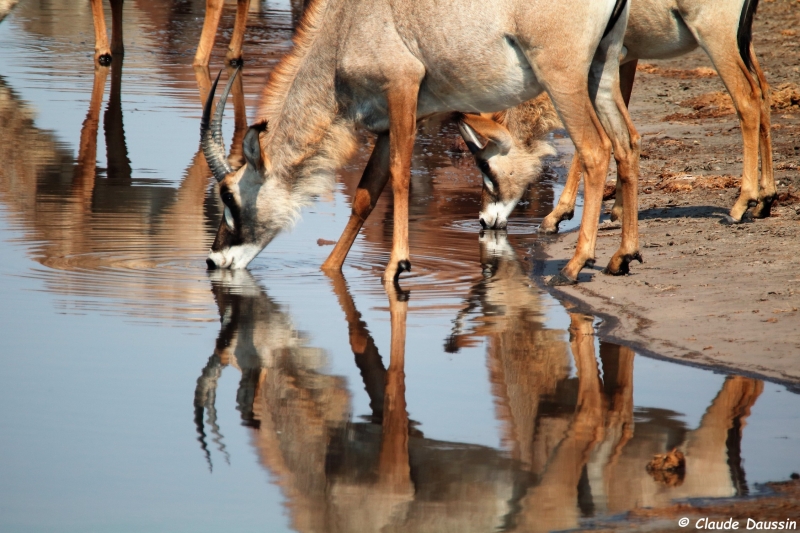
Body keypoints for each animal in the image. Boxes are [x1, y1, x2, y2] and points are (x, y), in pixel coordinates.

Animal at [203, 0, 640, 286]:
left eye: (228, 196)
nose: (212, 260)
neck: (344, 26)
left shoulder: (403, 89)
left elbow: (399, 175)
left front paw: (397, 265)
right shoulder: (383, 122)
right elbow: (366, 194)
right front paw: (330, 267)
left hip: (562, 76)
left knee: (596, 149)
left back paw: (575, 265)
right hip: (603, 69)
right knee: (626, 144)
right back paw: (622, 257)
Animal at [462, 0, 776, 233]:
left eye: (485, 166)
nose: (484, 221)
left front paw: (557, 216)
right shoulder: (622, 60)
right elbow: (620, 133)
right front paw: (618, 210)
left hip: (715, 35)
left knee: (747, 99)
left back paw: (741, 205)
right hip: (742, 40)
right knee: (762, 92)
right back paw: (766, 199)